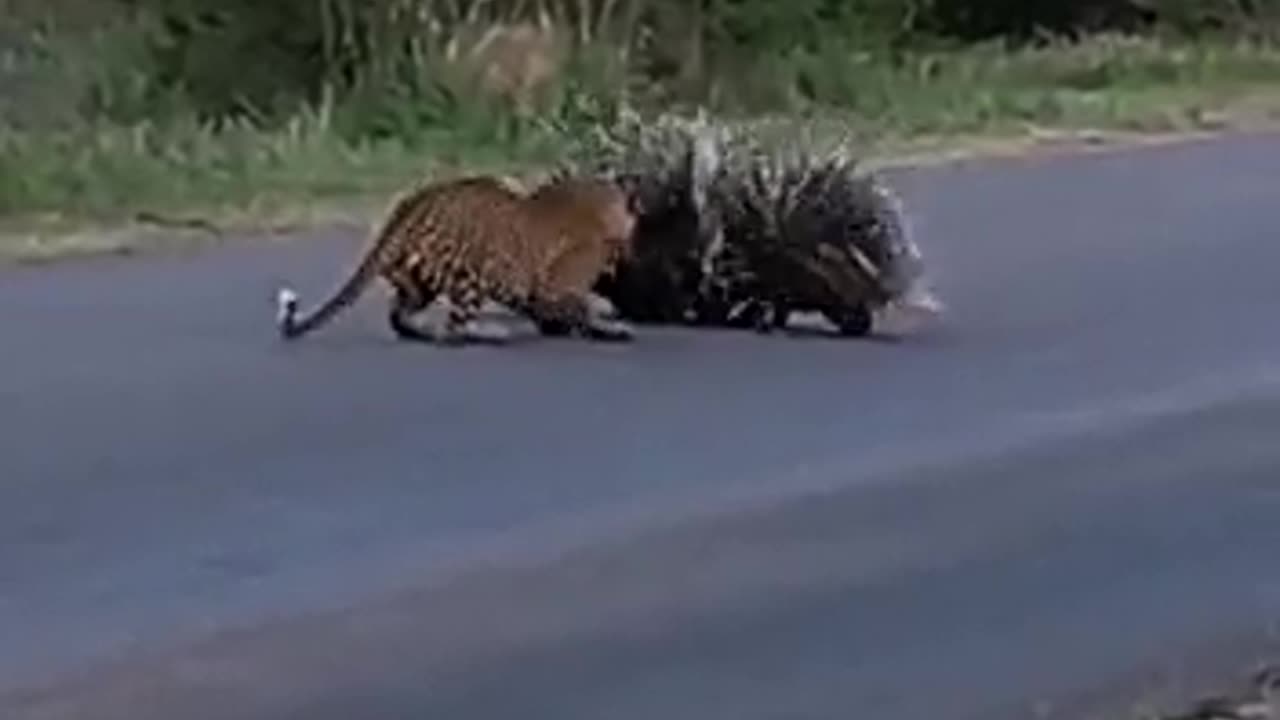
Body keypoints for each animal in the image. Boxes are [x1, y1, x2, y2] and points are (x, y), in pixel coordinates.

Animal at [280, 172, 640, 343]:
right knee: (453, 329)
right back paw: (492, 334)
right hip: (470, 277)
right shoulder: (555, 288)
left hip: (417, 282)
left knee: (400, 317)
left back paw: (423, 332)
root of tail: (414, 204)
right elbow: (579, 307)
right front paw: (608, 326)